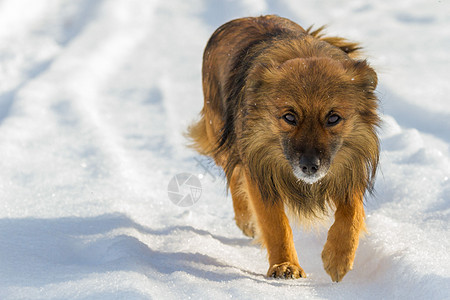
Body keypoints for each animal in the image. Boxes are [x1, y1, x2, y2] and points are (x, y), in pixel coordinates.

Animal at [187, 15, 380, 282]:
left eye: (333, 118)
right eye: (289, 117)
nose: (310, 166)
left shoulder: (347, 165)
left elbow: (353, 211)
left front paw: (338, 258)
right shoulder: (259, 167)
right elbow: (275, 222)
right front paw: (285, 265)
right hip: (222, 135)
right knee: (233, 172)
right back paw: (246, 220)